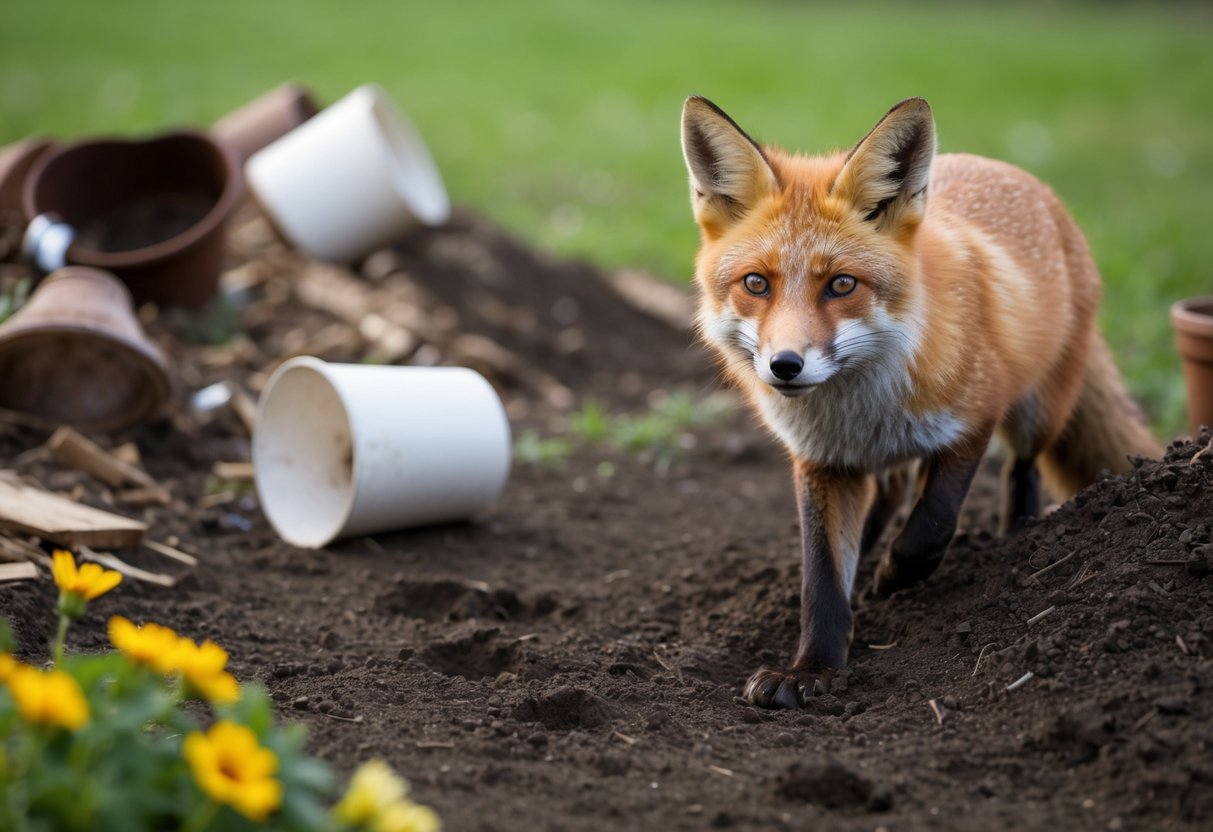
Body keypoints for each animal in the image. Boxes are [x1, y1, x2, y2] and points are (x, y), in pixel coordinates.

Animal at [680, 96, 1162, 709]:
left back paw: (1019, 536)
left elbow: (932, 524)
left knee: (1021, 470)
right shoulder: (821, 461)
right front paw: (811, 670)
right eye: (756, 284)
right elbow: (822, 579)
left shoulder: (972, 420)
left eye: (842, 285)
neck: (861, 405)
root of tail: (1018, 174)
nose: (784, 366)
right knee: (891, 490)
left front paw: (892, 577)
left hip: (1038, 409)